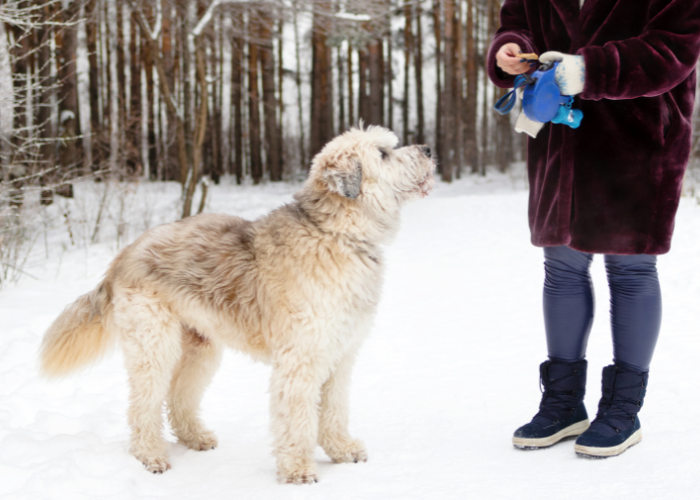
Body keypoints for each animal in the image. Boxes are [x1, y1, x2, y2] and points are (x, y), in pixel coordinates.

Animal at [38, 125, 434, 484]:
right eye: (383, 153)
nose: (429, 149)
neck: (333, 232)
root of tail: (122, 256)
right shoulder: (301, 359)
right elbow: (297, 419)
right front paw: (298, 470)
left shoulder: (340, 354)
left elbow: (335, 408)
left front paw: (341, 450)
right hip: (153, 345)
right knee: (144, 405)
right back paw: (150, 455)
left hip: (200, 347)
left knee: (179, 398)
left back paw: (195, 437)